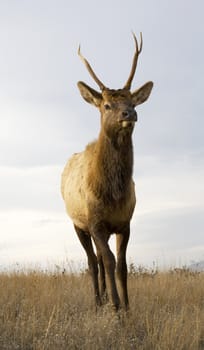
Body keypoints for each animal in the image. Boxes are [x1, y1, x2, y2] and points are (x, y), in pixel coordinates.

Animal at [61, 34, 154, 310]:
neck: (112, 195)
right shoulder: (95, 222)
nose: (129, 113)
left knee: (100, 260)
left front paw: (127, 307)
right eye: (106, 105)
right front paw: (115, 307)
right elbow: (110, 260)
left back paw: (102, 298)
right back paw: (97, 300)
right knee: (93, 261)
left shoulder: (125, 222)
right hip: (77, 223)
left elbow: (121, 265)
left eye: (132, 101)